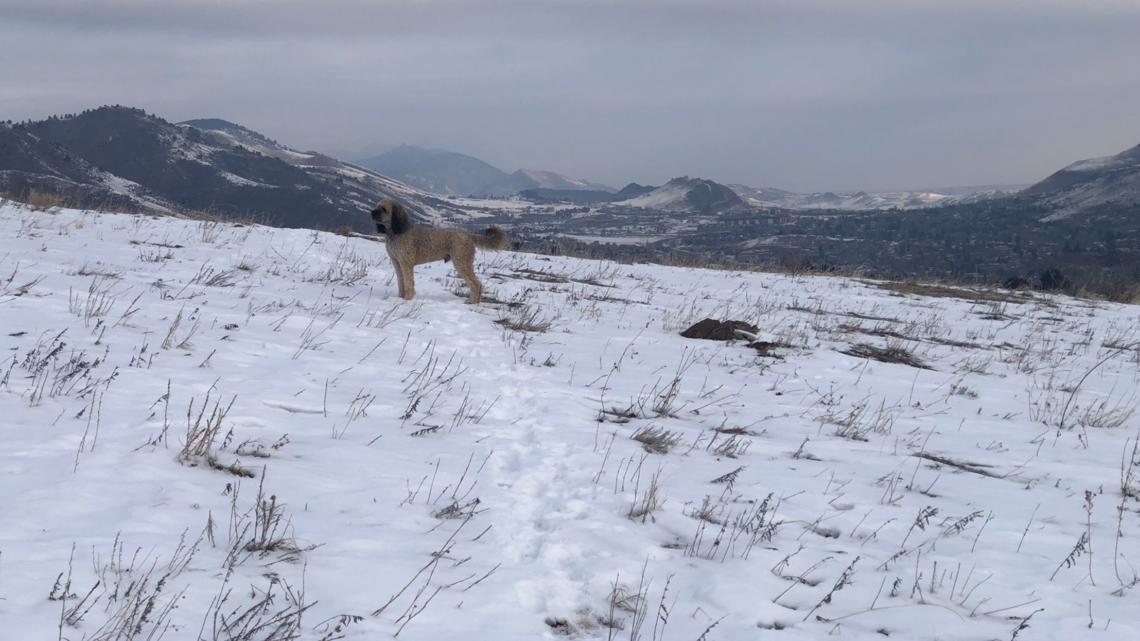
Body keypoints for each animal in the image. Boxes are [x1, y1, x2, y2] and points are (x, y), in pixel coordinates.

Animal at [369, 197, 508, 301]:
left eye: (384, 209)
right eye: (377, 206)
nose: (372, 212)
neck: (396, 232)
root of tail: (468, 235)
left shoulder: (406, 263)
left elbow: (408, 283)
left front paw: (408, 299)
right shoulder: (397, 262)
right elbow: (401, 282)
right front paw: (401, 298)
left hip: (461, 262)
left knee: (476, 284)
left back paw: (471, 302)